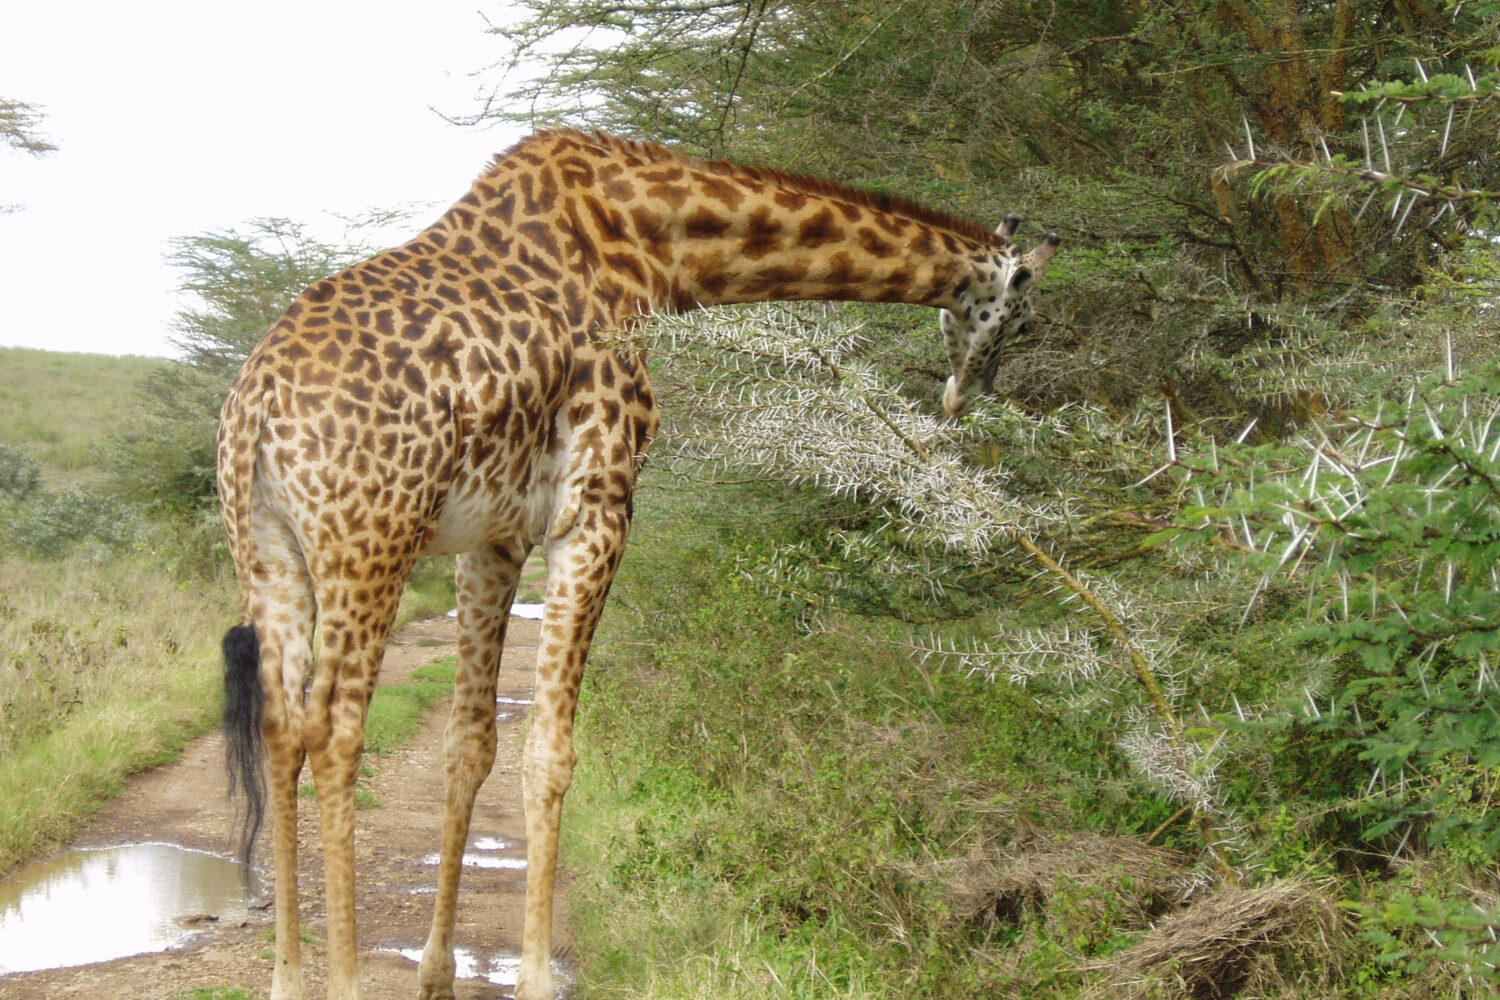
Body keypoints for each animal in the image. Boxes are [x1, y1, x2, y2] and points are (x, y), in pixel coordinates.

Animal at [219, 127, 1056, 1000]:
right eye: (1024, 321)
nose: (968, 398)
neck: (654, 244)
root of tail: (257, 407)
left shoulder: (494, 537)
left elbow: (470, 746)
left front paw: (438, 976)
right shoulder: (599, 508)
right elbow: (550, 754)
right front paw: (536, 981)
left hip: (269, 550)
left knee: (281, 727)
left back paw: (287, 979)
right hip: (368, 542)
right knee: (335, 731)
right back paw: (340, 979)